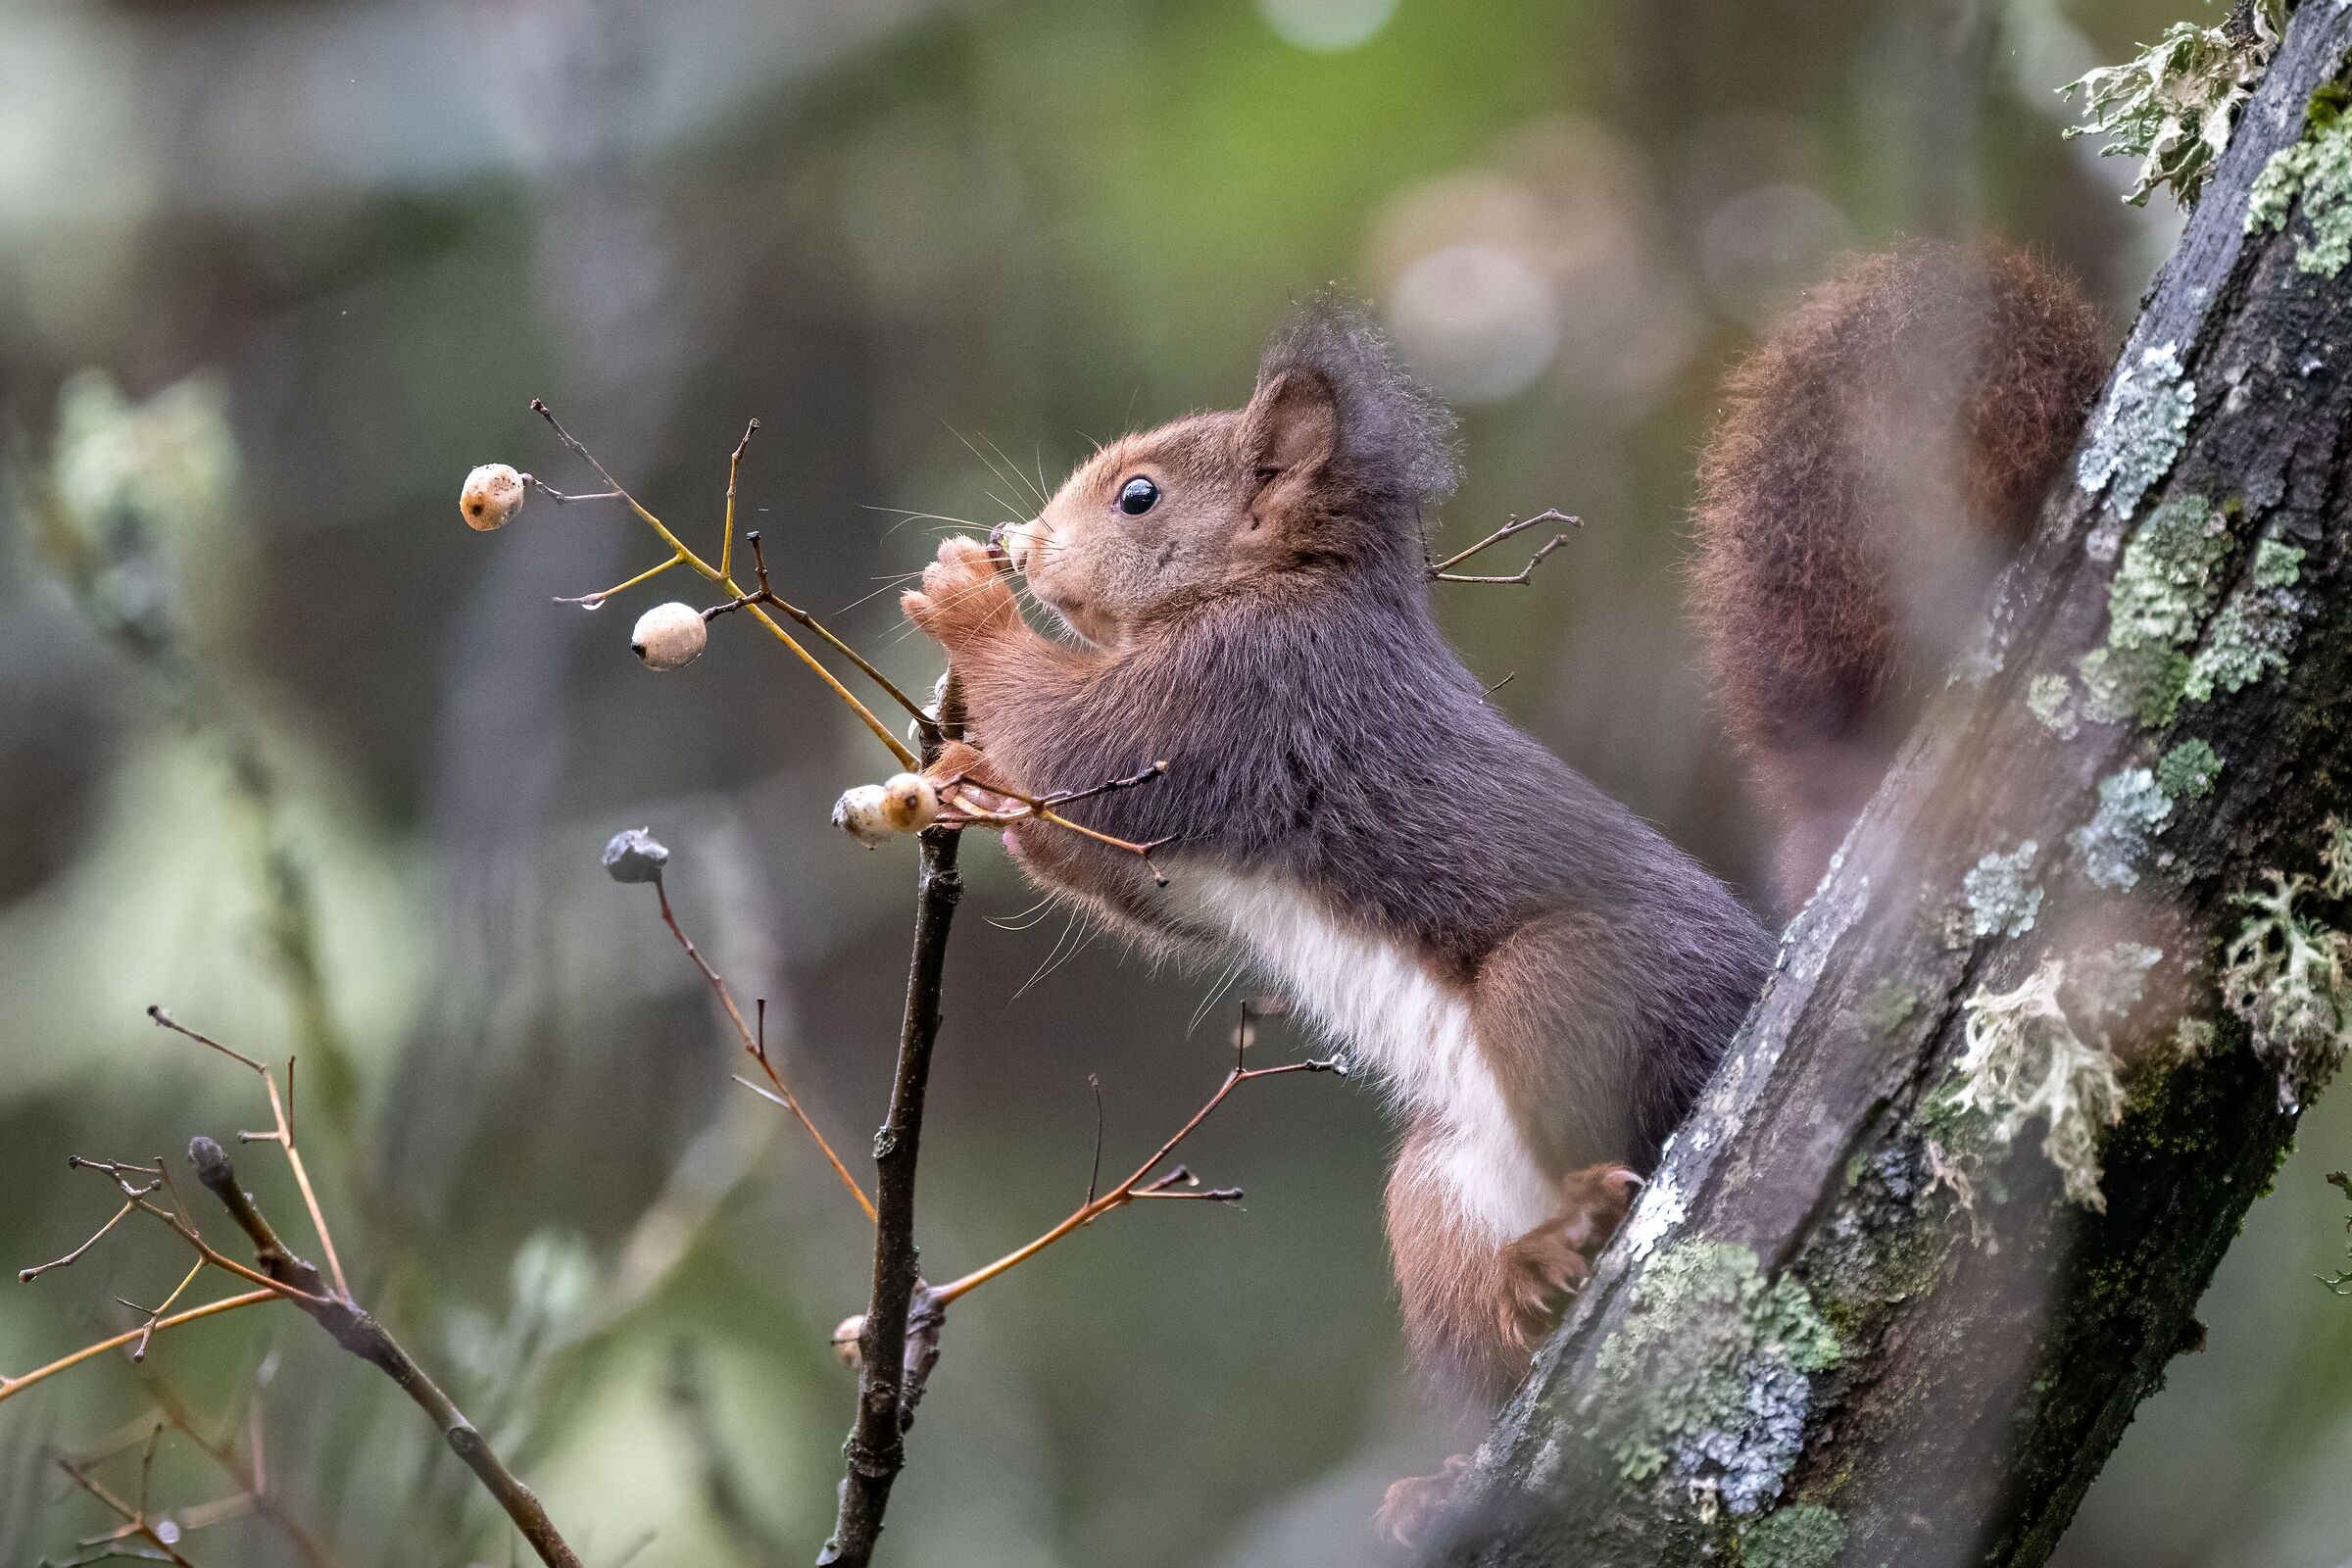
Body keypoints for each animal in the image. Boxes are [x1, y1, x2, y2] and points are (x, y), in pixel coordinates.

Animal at [899, 239, 2105, 1544]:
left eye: (1139, 498)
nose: (1027, 544)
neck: (1286, 584)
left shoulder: (1240, 692)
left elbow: (1080, 740)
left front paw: (966, 605)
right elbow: (1118, 875)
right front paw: (961, 779)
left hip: (1573, 990)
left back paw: (1581, 1236)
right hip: (1437, 1199)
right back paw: (1475, 1418)